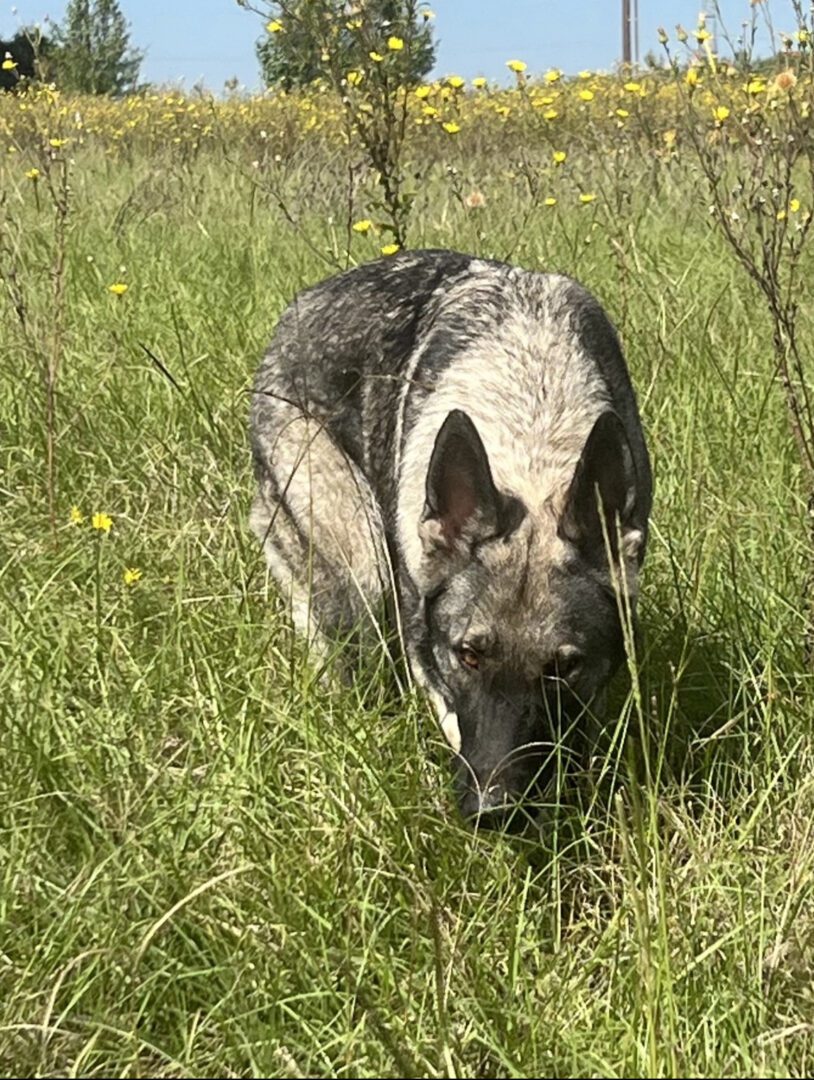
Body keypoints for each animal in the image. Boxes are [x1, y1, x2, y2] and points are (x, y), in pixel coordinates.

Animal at [250, 250, 652, 825]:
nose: (493, 811)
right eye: (468, 657)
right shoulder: (429, 652)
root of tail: (300, 305)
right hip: (359, 570)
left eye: (563, 668)